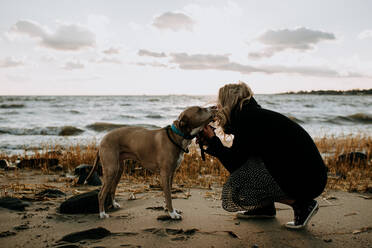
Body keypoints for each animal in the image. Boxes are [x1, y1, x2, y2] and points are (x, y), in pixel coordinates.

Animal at [85, 105, 217, 218]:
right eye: (199, 109)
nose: (215, 107)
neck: (176, 136)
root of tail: (102, 141)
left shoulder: (171, 174)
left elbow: (168, 194)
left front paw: (168, 210)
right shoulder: (165, 174)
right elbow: (168, 196)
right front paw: (172, 213)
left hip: (118, 169)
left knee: (112, 188)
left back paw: (114, 204)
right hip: (111, 169)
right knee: (101, 193)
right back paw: (102, 214)